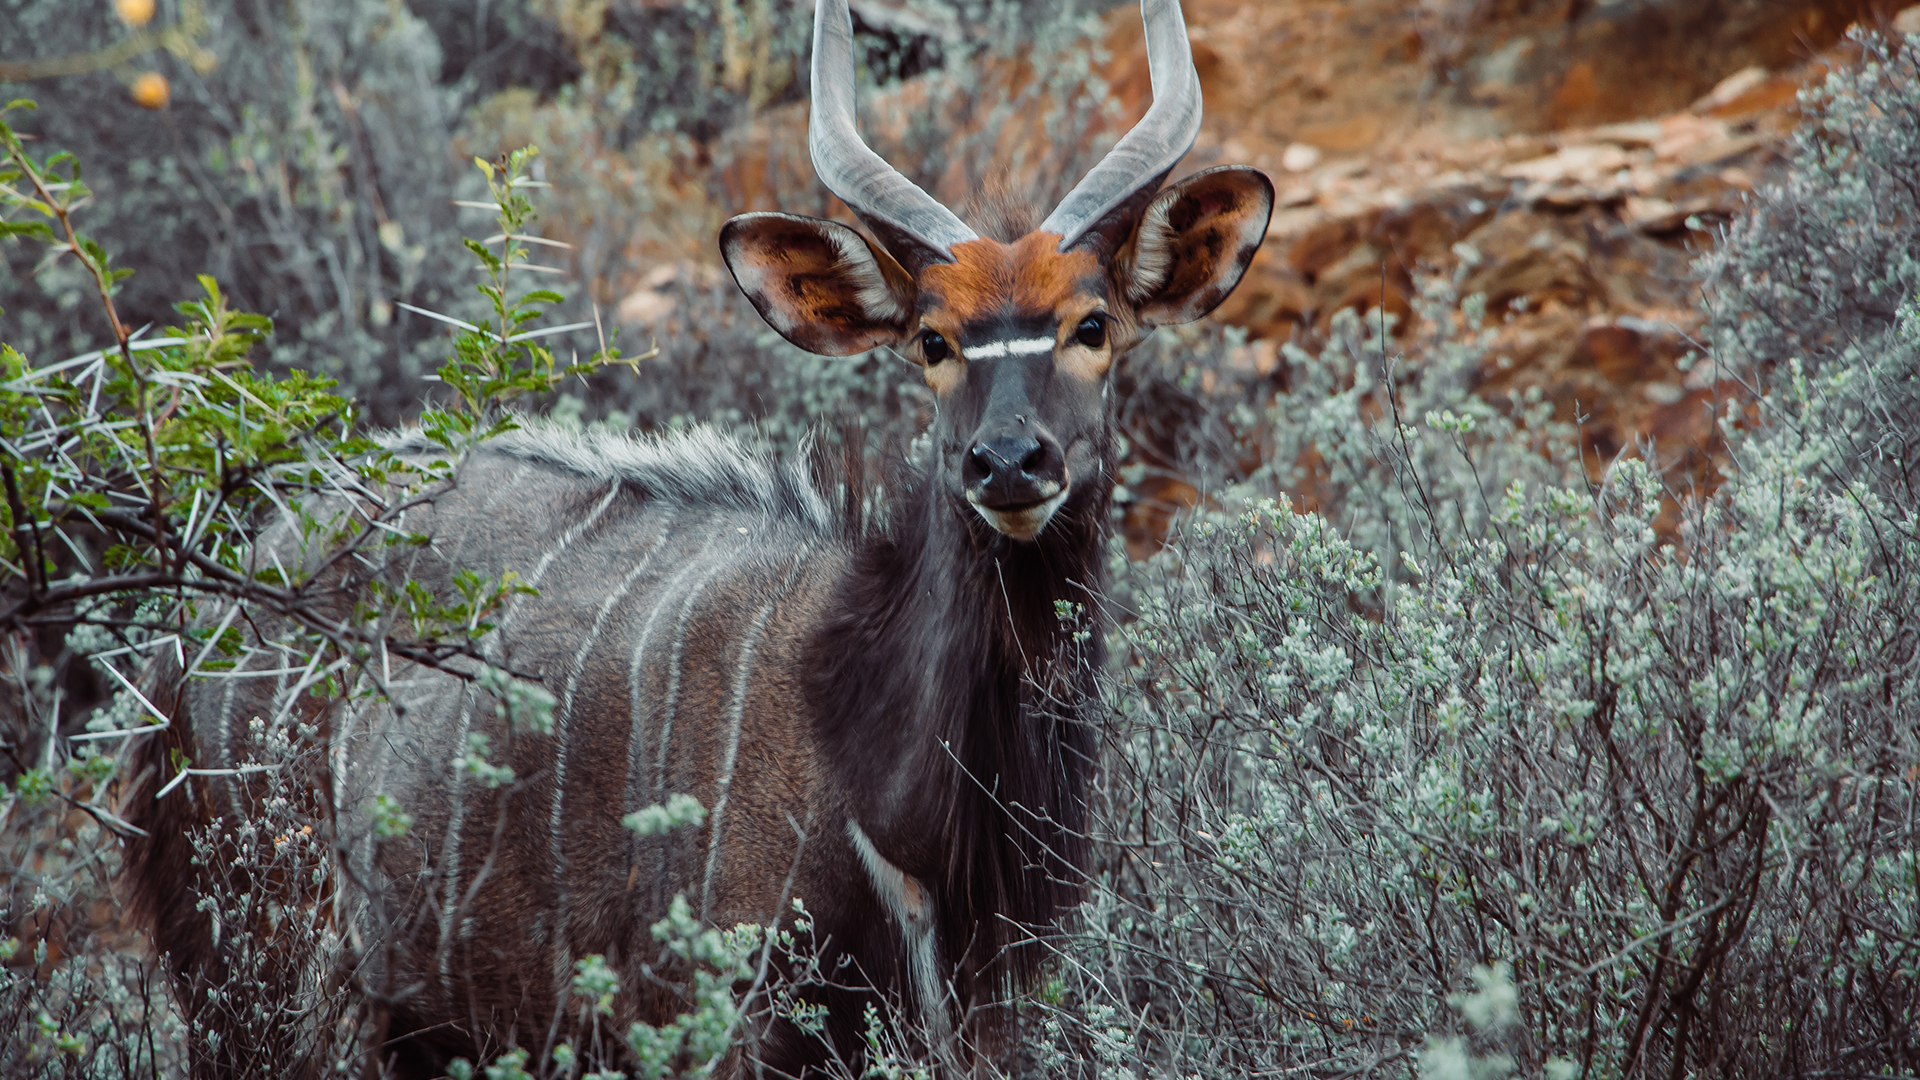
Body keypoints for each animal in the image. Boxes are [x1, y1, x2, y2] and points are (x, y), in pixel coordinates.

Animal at [131, 0, 1274, 1068]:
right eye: (932, 340)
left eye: (1093, 325)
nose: (1007, 464)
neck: (892, 792)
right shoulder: (732, 1016)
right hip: (258, 972)